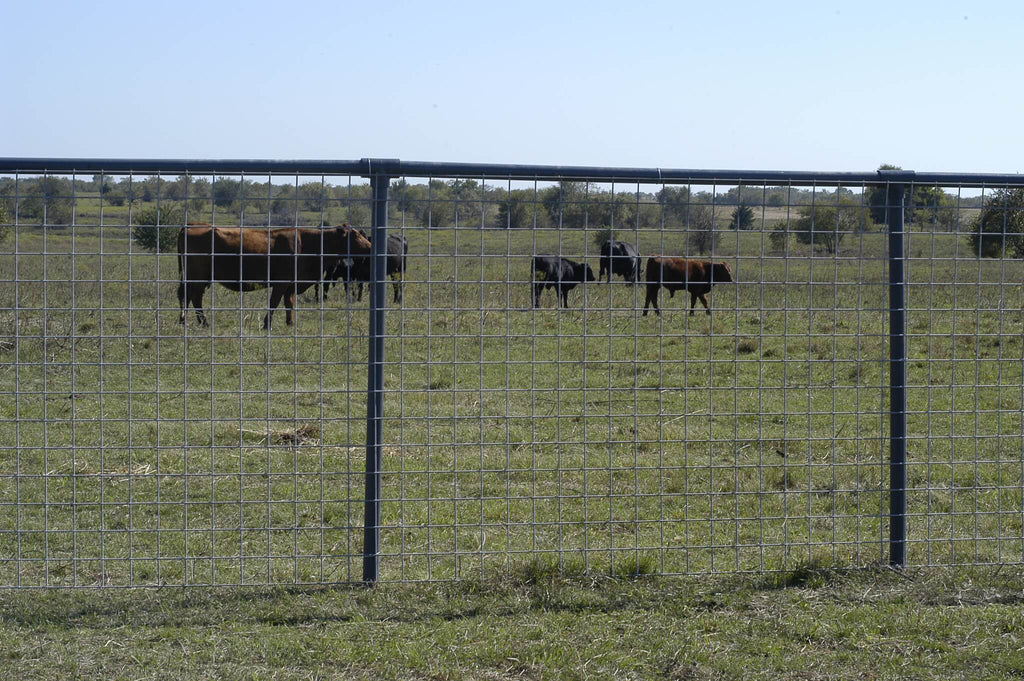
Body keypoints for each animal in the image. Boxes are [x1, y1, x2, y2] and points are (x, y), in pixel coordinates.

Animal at [179, 224, 372, 327]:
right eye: (356, 236)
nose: (371, 246)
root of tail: (190, 226)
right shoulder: (281, 282)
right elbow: (274, 302)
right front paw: (267, 324)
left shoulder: (291, 283)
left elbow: (289, 303)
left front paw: (290, 323)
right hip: (197, 276)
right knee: (192, 297)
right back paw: (198, 322)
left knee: (188, 296)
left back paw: (190, 321)